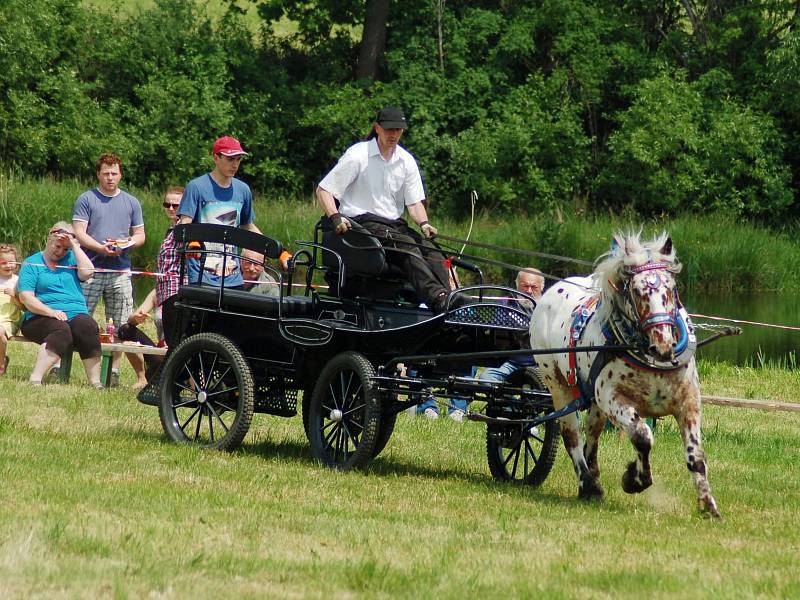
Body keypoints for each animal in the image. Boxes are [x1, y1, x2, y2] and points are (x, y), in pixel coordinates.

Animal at [528, 232, 720, 516]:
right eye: (637, 291)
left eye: (671, 288)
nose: (663, 346)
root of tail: (551, 290)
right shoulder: (613, 398)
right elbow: (643, 437)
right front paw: (635, 479)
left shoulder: (689, 403)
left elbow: (695, 456)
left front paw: (708, 506)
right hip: (558, 385)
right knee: (572, 435)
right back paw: (588, 485)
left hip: (594, 402)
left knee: (592, 436)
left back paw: (594, 479)